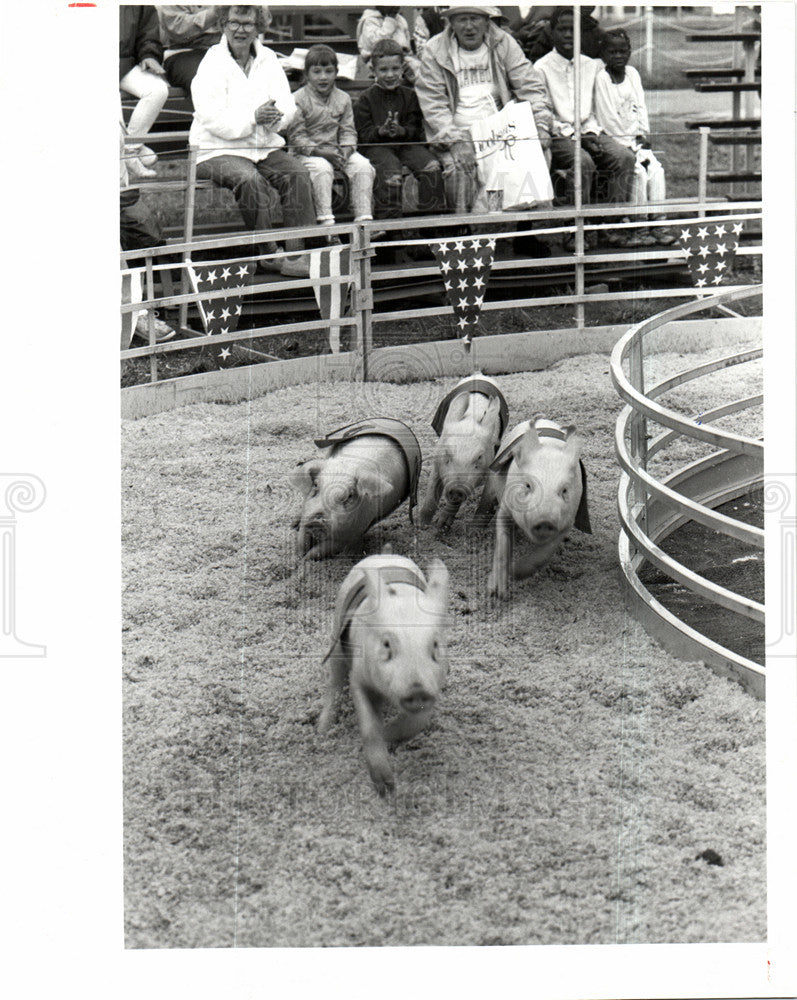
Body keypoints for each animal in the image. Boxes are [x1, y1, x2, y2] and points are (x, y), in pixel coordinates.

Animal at [290, 418, 420, 564]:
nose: (317, 519)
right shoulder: (307, 514)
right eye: (316, 485)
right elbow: (302, 538)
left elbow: (324, 549)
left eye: (349, 496)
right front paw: (300, 556)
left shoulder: (352, 533)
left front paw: (307, 558)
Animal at [320, 552, 450, 792]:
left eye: (435, 646)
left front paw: (389, 734)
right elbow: (369, 727)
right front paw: (386, 787)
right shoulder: (358, 677)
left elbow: (417, 723)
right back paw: (322, 730)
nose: (417, 690)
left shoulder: (433, 687)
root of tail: (384, 552)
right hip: (337, 636)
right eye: (387, 644)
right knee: (334, 683)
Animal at [420, 374, 506, 532]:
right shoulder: (437, 461)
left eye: (479, 457)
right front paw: (422, 525)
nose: (456, 489)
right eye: (447, 454)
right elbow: (431, 493)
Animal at [486, 418, 592, 596]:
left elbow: (544, 553)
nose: (545, 520)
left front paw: (516, 572)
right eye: (528, 485)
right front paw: (499, 593)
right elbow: (502, 544)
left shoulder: (567, 521)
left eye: (564, 490)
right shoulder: (505, 508)